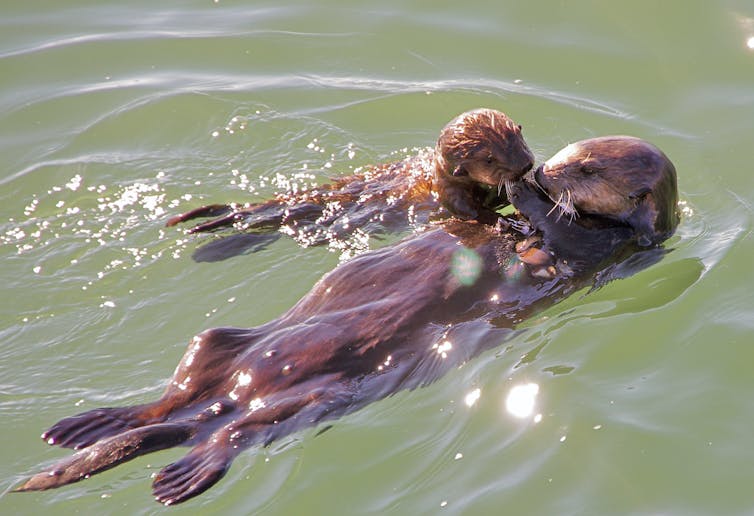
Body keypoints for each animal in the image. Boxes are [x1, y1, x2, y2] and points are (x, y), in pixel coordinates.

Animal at [17, 136, 679, 505]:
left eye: (587, 170)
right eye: (569, 156)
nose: (541, 170)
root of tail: (224, 403)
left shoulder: (600, 247)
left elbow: (553, 231)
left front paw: (524, 193)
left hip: (321, 398)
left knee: (235, 434)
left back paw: (180, 476)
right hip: (218, 346)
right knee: (172, 397)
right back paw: (88, 425)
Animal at [166, 109, 534, 258]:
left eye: (518, 132)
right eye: (489, 159)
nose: (526, 164)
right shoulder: (449, 195)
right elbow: (470, 212)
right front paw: (506, 223)